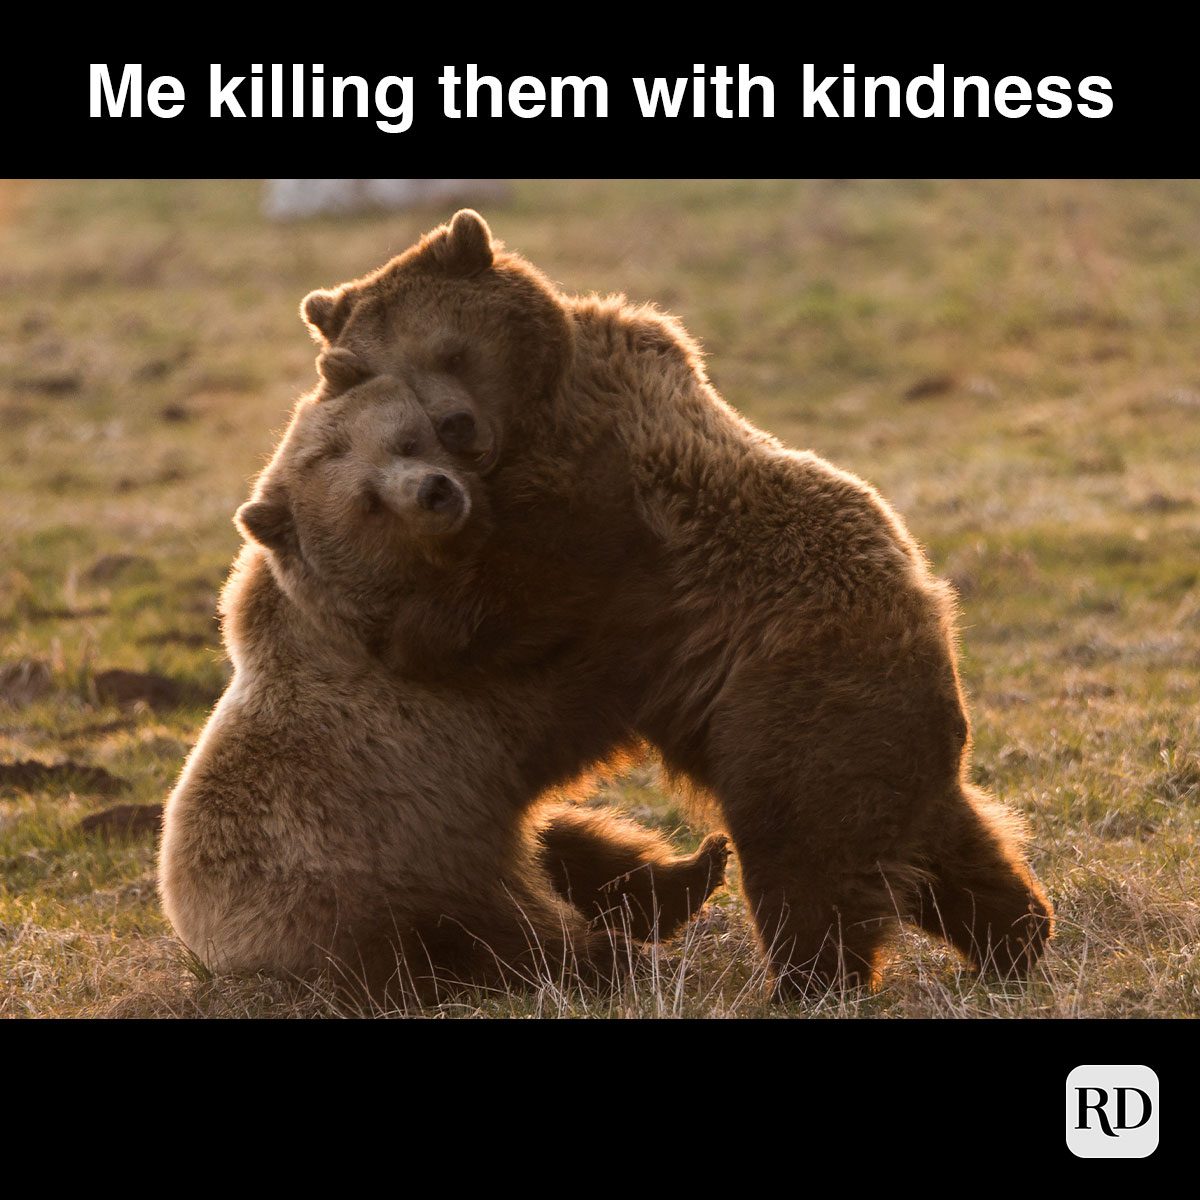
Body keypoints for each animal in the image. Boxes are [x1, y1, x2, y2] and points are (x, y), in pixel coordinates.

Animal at [158, 376, 730, 1004]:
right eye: (368, 500)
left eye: (408, 441)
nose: (434, 490)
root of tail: (205, 945)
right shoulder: (432, 704)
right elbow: (572, 686)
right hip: (372, 893)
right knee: (492, 943)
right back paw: (613, 956)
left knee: (572, 845)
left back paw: (696, 870)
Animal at [297, 209, 1055, 998]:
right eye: (380, 372)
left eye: (449, 349)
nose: (456, 426)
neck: (535, 410)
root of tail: (937, 644)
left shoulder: (604, 499)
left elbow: (518, 591)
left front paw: (401, 627)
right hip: (883, 746)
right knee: (951, 850)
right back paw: (1015, 936)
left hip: (795, 704)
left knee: (804, 855)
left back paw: (805, 979)